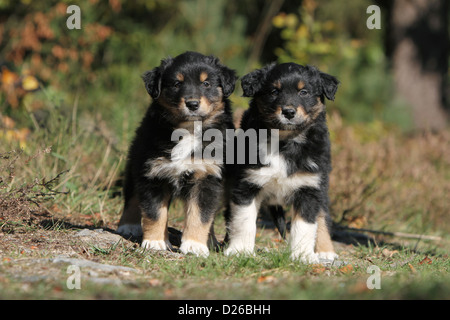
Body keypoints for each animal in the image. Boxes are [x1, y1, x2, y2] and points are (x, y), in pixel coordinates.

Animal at [117, 52, 236, 258]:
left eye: (206, 83)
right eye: (176, 84)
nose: (192, 104)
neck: (188, 129)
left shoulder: (207, 177)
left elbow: (201, 215)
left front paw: (195, 245)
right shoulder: (153, 173)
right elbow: (155, 212)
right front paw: (154, 242)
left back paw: (210, 240)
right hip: (136, 161)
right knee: (132, 196)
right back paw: (128, 226)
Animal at [225, 62, 342, 262]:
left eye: (304, 92)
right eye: (274, 91)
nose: (288, 112)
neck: (284, 142)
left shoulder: (309, 188)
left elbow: (305, 226)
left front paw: (303, 256)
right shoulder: (247, 183)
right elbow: (244, 220)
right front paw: (240, 251)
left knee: (322, 217)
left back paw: (326, 251)